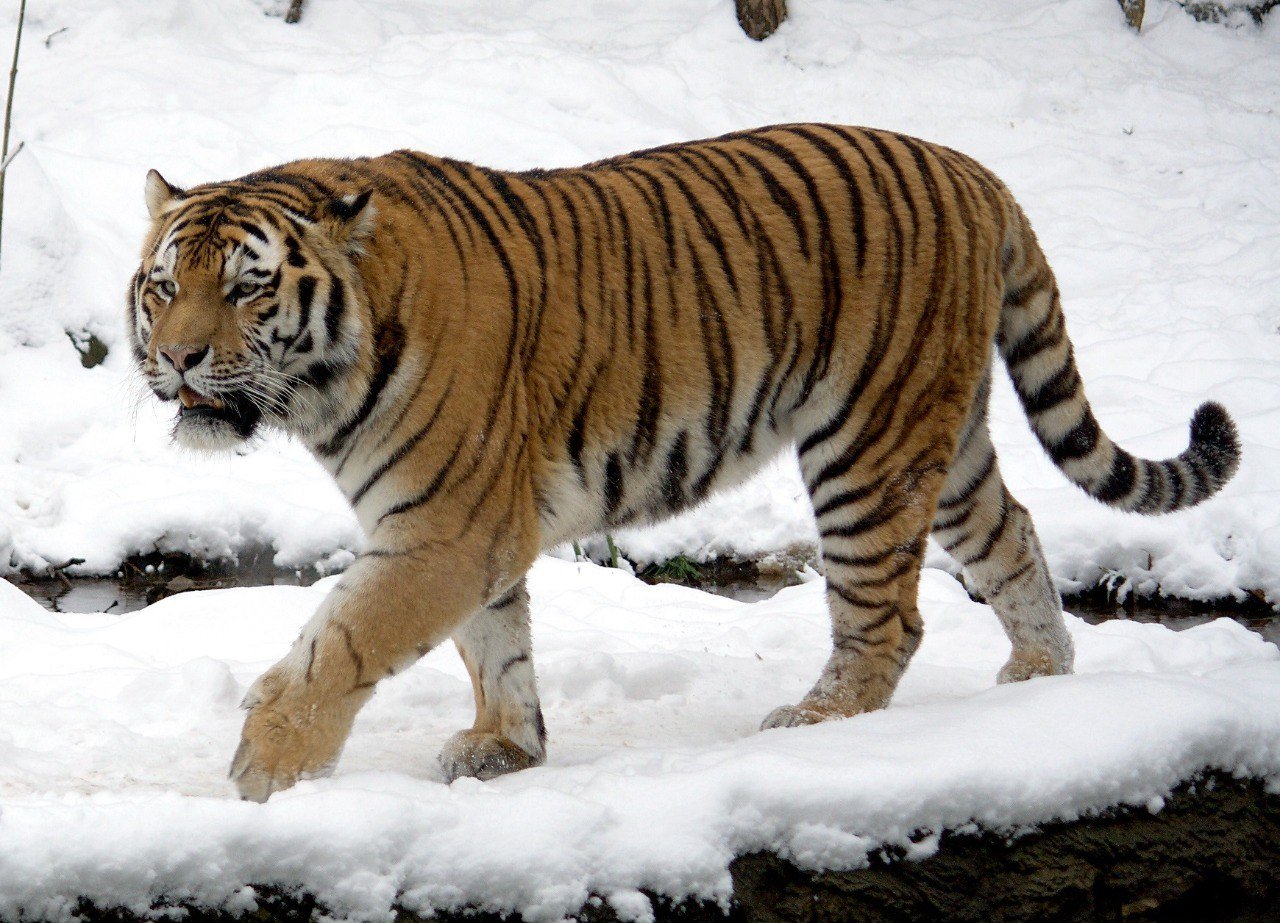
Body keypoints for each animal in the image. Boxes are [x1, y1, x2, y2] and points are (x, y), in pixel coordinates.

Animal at [129, 122, 1239, 798]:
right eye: (164, 285)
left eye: (245, 287)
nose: (177, 357)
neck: (325, 382)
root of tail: (975, 170)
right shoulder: (466, 529)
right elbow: (495, 643)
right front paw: (506, 746)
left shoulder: (444, 528)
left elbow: (342, 642)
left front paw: (265, 771)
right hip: (944, 434)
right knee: (1010, 533)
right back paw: (1037, 679)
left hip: (866, 444)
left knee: (888, 613)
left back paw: (817, 722)